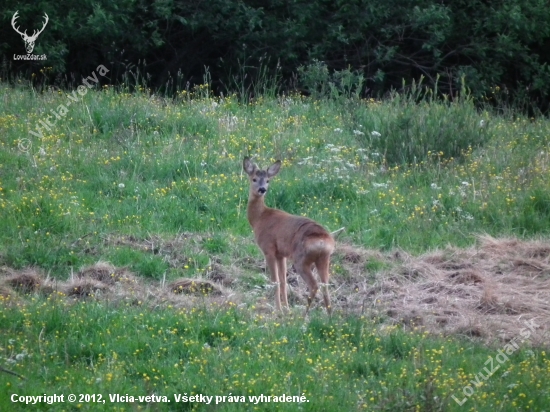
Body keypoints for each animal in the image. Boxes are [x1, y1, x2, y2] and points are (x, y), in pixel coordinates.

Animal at [245, 156, 342, 314]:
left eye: (268, 180)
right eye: (254, 179)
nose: (262, 189)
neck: (260, 218)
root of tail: (323, 240)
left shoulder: (268, 249)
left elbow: (275, 281)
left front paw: (278, 311)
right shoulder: (281, 254)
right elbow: (283, 281)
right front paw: (287, 310)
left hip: (301, 259)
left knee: (314, 285)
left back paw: (304, 314)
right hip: (324, 259)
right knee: (325, 286)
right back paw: (329, 315)